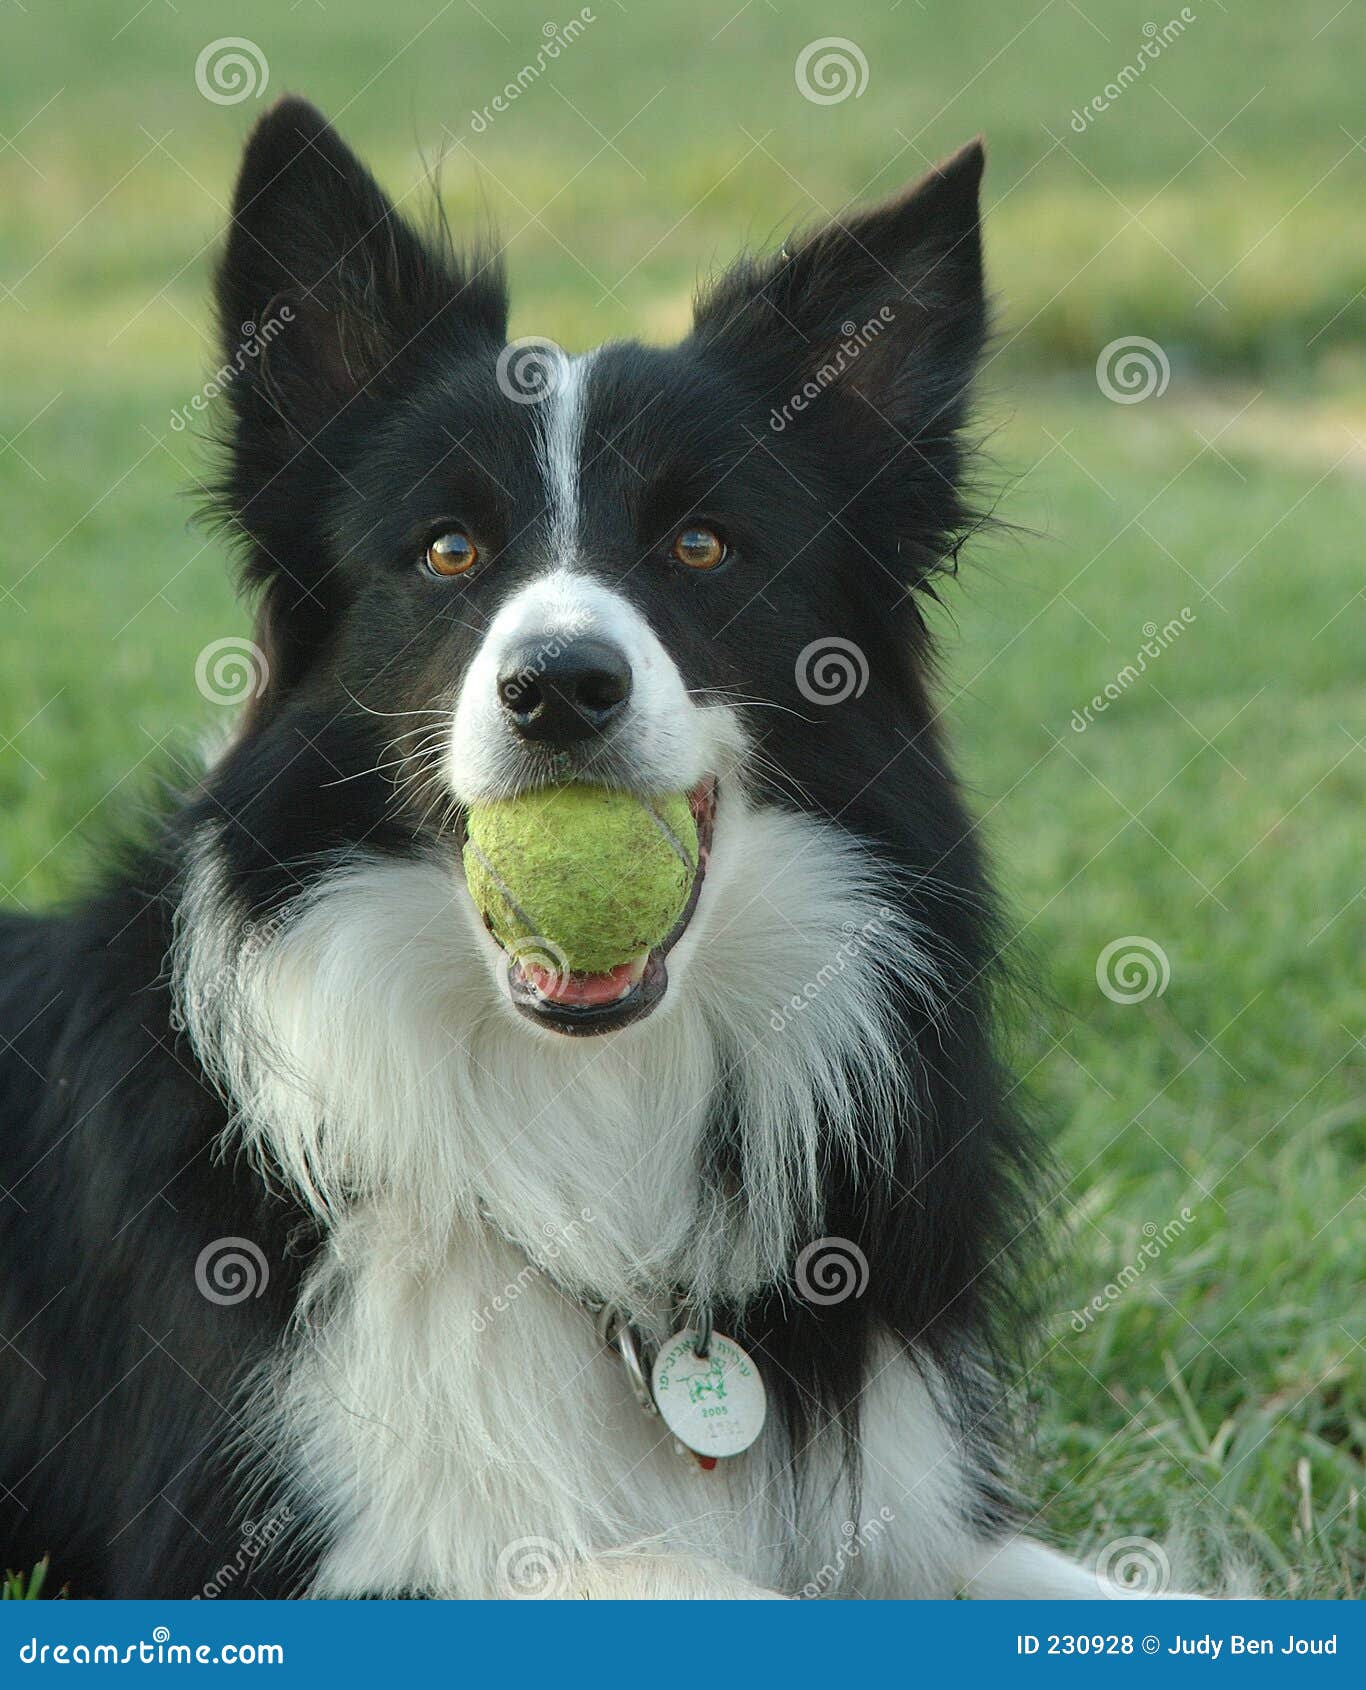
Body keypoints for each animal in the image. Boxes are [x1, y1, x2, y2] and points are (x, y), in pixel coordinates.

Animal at [0, 95, 1196, 1595]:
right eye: (447, 550)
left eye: (702, 545)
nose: (559, 687)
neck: (583, 1110)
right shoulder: (275, 1552)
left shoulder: (919, 1516)